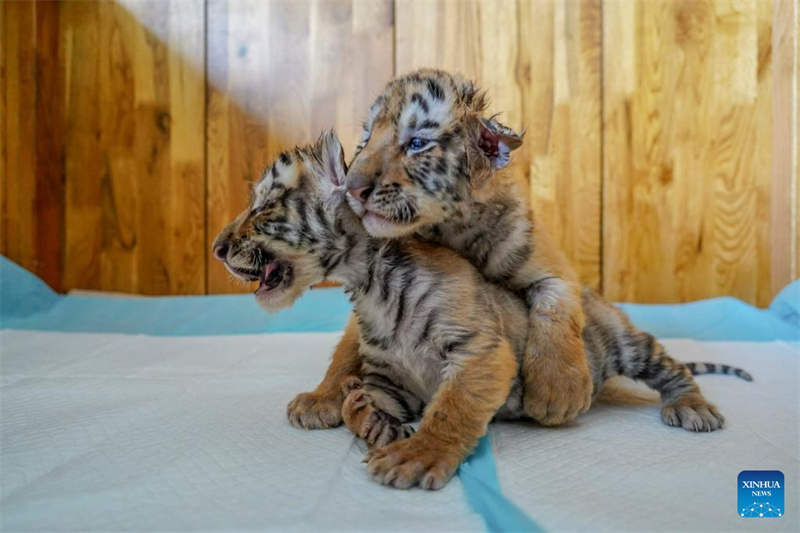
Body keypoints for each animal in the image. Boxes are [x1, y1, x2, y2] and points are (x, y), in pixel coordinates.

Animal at [211, 133, 749, 490]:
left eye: (263, 206)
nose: (216, 248)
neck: (368, 284)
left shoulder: (479, 351)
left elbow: (453, 408)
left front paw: (415, 457)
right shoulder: (389, 375)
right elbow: (358, 402)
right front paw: (374, 422)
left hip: (623, 341)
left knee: (671, 367)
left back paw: (693, 408)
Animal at [288, 68, 593, 430]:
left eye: (416, 143)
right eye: (365, 142)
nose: (350, 187)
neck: (452, 230)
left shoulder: (549, 264)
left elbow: (556, 305)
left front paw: (559, 391)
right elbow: (348, 347)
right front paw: (319, 398)